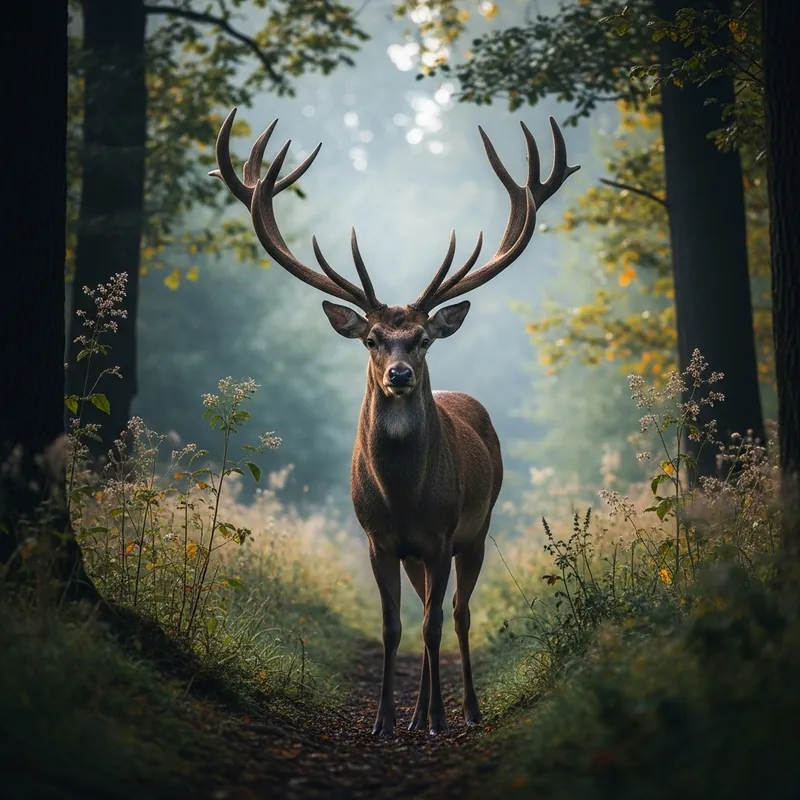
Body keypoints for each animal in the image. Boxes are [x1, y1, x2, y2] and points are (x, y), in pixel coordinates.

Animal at [211, 108, 579, 737]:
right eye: (374, 338)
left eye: (424, 338)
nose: (400, 374)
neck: (403, 496)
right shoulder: (378, 538)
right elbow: (392, 628)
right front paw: (384, 720)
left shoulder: (440, 535)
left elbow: (433, 626)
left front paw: (433, 719)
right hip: (418, 554)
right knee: (432, 614)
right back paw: (419, 712)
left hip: (477, 530)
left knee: (457, 614)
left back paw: (460, 711)